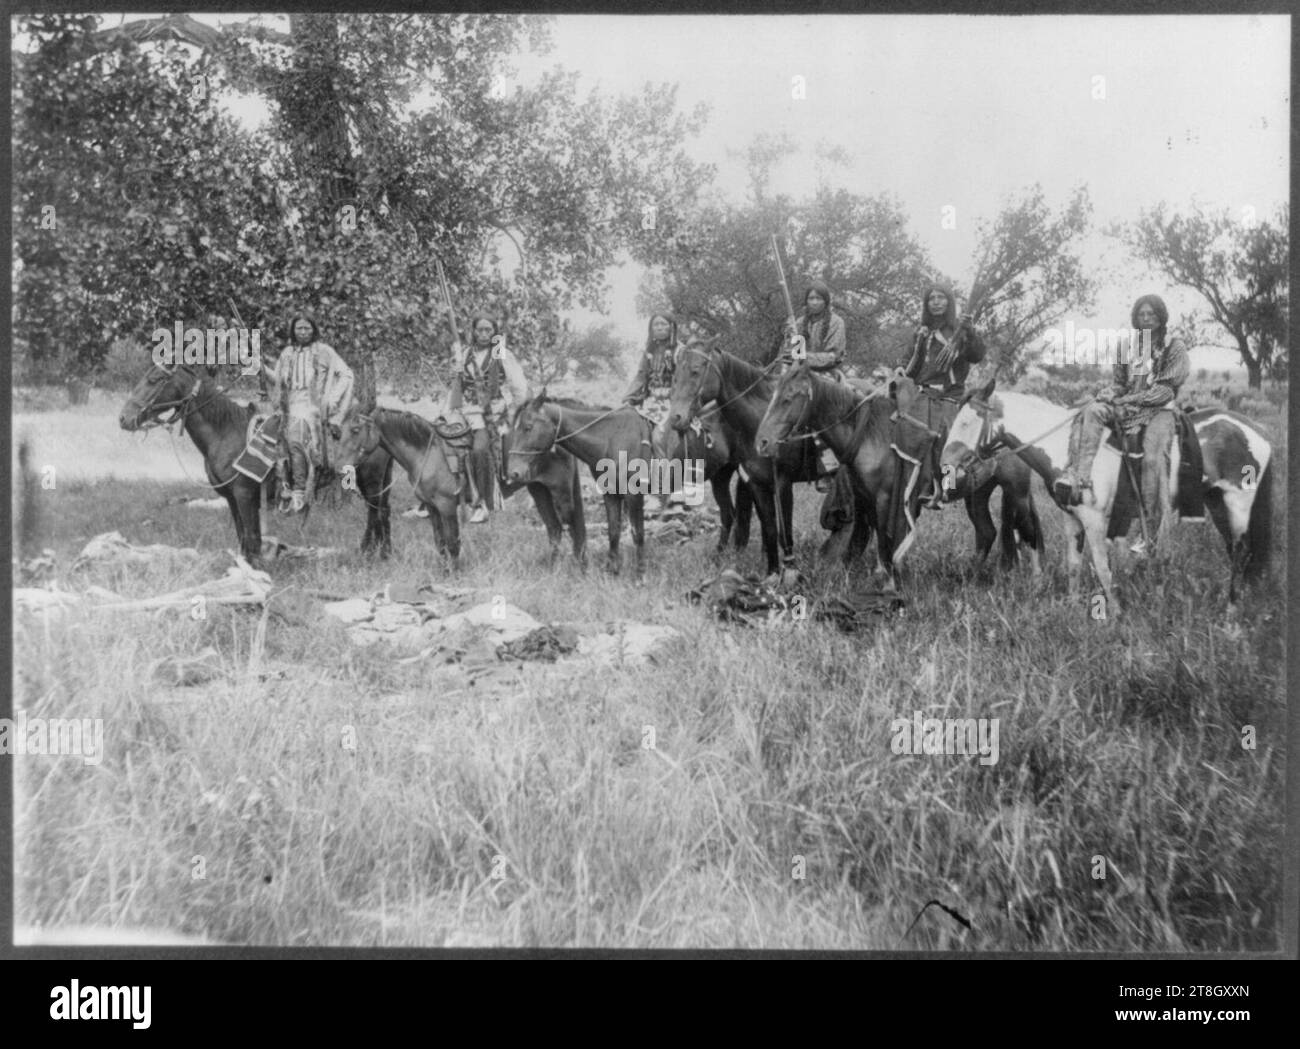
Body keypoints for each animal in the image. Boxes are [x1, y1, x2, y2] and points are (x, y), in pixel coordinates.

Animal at [119, 363, 392, 574]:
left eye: (154, 380)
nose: (124, 418)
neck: (227, 433)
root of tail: (374, 423)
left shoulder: (244, 494)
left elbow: (251, 537)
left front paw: (257, 571)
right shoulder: (232, 498)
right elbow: (244, 537)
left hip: (371, 480)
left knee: (376, 513)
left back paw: (372, 553)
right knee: (382, 512)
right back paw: (379, 553)